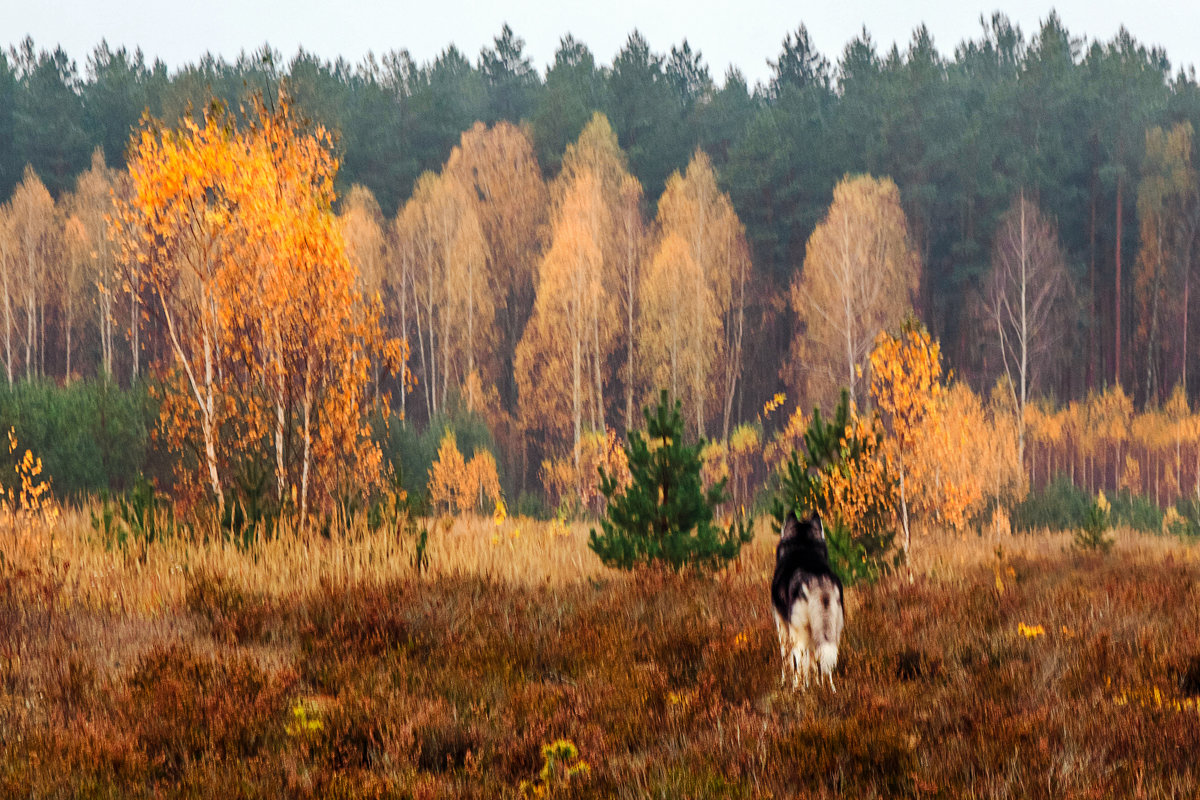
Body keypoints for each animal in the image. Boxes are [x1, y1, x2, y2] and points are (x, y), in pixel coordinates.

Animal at [768, 513, 844, 695]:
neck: (803, 546)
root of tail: (818, 579)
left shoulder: (782, 625)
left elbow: (787, 660)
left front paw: (785, 683)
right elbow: (812, 665)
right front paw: (814, 684)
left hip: (798, 633)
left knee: (798, 661)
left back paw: (798, 690)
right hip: (833, 632)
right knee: (826, 663)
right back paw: (829, 691)